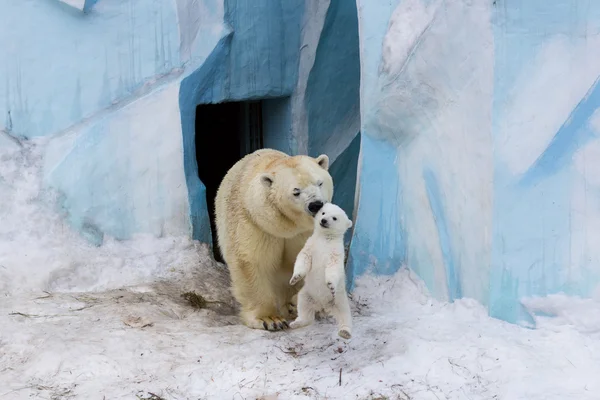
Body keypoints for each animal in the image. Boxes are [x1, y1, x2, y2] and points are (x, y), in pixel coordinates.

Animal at [214, 148, 332, 330]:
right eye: (296, 191)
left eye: (319, 182)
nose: (316, 205)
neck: (288, 226)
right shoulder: (255, 224)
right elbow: (252, 261)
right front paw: (269, 319)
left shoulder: (306, 232)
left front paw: (296, 303)